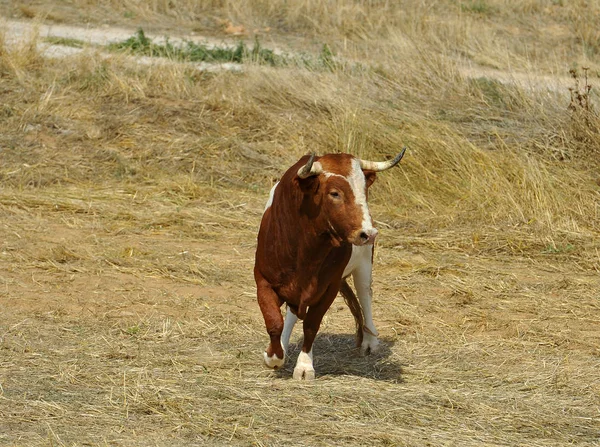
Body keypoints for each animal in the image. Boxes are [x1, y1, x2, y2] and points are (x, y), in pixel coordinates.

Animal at [255, 150, 406, 378]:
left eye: (364, 191)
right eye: (335, 193)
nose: (368, 234)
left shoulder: (329, 287)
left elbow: (311, 324)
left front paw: (304, 366)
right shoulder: (263, 280)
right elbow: (274, 322)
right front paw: (274, 356)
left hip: (364, 264)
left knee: (365, 296)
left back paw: (370, 341)